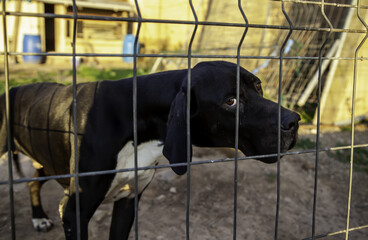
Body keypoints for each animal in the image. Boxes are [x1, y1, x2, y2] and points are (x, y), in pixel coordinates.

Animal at [0, 61, 300, 239]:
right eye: (230, 101)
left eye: (258, 86)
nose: (294, 121)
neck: (136, 120)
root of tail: (11, 90)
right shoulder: (76, 212)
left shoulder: (128, 201)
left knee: (33, 183)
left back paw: (39, 218)